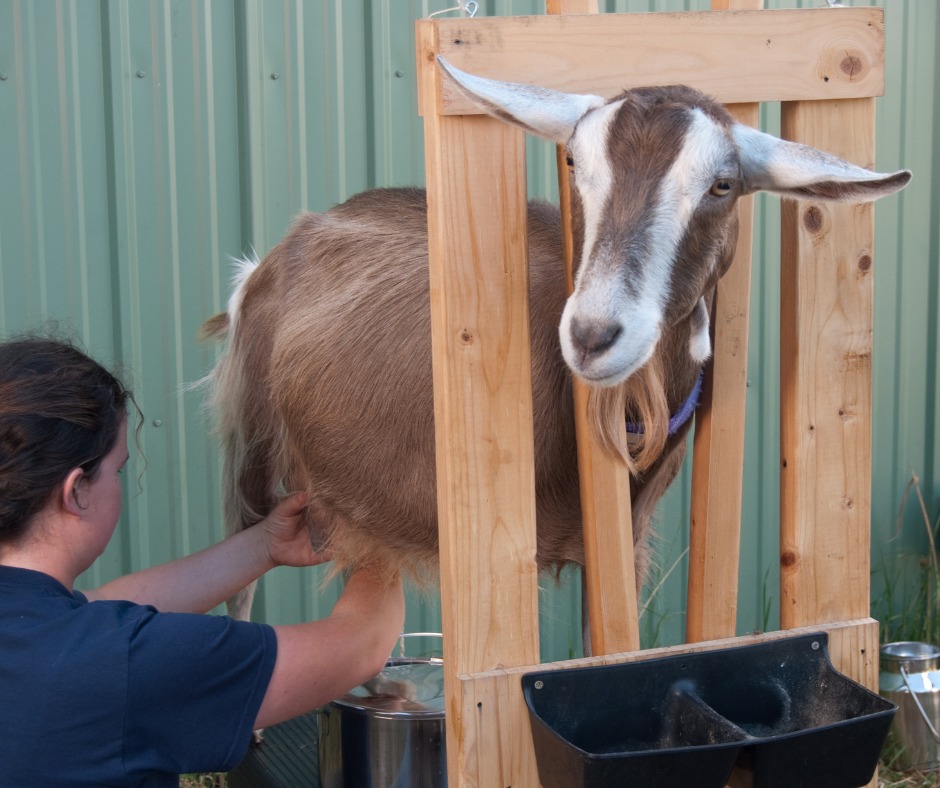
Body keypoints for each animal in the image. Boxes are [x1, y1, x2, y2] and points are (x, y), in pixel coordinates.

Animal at [201, 61, 910, 621]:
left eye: (722, 185)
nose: (594, 335)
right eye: (574, 161)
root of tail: (280, 249)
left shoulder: (620, 543)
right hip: (255, 457)